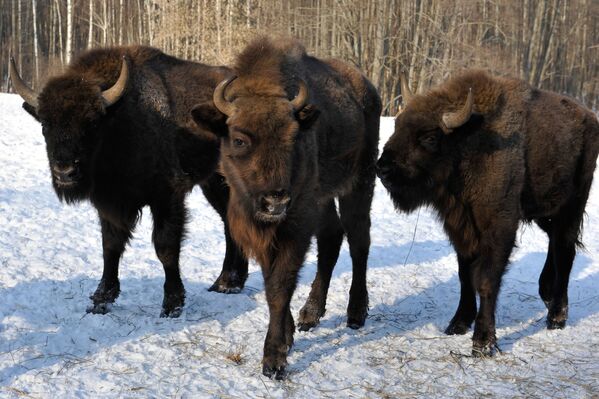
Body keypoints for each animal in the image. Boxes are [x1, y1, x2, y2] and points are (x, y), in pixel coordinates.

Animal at [11, 44, 251, 318]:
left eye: (92, 123)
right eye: (45, 125)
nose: (65, 172)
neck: (119, 121)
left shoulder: (167, 197)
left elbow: (165, 247)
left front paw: (172, 305)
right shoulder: (108, 203)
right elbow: (110, 246)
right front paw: (101, 300)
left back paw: (226, 283)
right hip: (213, 183)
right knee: (229, 222)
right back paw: (226, 283)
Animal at [192, 38, 380, 382]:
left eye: (293, 137)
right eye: (238, 139)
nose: (275, 201)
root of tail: (367, 88)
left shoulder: (295, 224)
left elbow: (280, 285)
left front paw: (274, 359)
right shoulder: (266, 229)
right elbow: (271, 281)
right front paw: (290, 334)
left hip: (359, 183)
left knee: (359, 240)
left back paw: (356, 313)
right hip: (323, 199)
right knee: (332, 238)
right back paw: (310, 314)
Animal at [378, 69, 599, 356]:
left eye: (429, 137)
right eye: (397, 125)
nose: (382, 168)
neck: (467, 142)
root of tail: (590, 118)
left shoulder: (499, 228)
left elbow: (485, 280)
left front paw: (483, 342)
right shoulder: (460, 229)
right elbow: (464, 276)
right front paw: (458, 323)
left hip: (572, 206)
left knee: (565, 251)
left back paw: (556, 317)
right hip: (545, 212)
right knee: (556, 242)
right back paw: (547, 293)